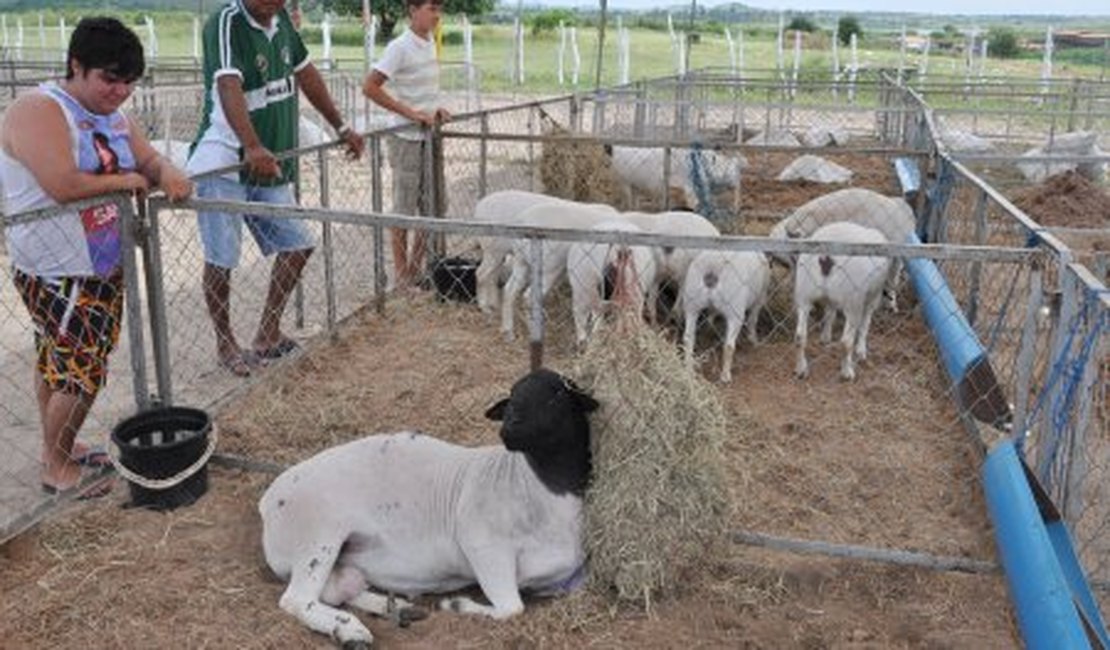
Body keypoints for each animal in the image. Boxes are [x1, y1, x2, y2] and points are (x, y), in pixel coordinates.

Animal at [679, 246, 768, 379]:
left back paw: (688, 369)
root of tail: (713, 267)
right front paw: (754, 341)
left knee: (688, 337)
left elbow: (710, 319)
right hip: (735, 311)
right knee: (729, 345)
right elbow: (752, 321)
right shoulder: (759, 299)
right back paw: (725, 375)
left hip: (692, 303)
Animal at [794, 221, 888, 379]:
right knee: (846, 341)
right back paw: (847, 372)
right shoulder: (872, 297)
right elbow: (865, 324)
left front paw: (825, 337)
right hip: (853, 300)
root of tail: (826, 257)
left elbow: (830, 313)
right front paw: (861, 351)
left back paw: (801, 369)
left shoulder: (831, 299)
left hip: (804, 292)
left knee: (800, 335)